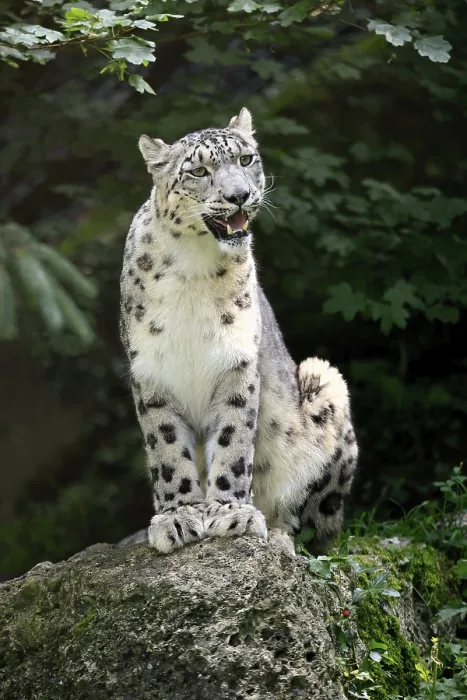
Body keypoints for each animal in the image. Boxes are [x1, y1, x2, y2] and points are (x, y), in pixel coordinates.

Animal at [119, 107, 359, 555]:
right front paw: (178, 516)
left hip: (325, 382)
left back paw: (280, 534)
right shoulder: (152, 373)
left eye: (246, 159)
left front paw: (231, 513)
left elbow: (234, 441)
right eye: (198, 170)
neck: (193, 267)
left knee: (317, 528)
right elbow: (166, 449)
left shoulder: (236, 364)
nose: (239, 195)